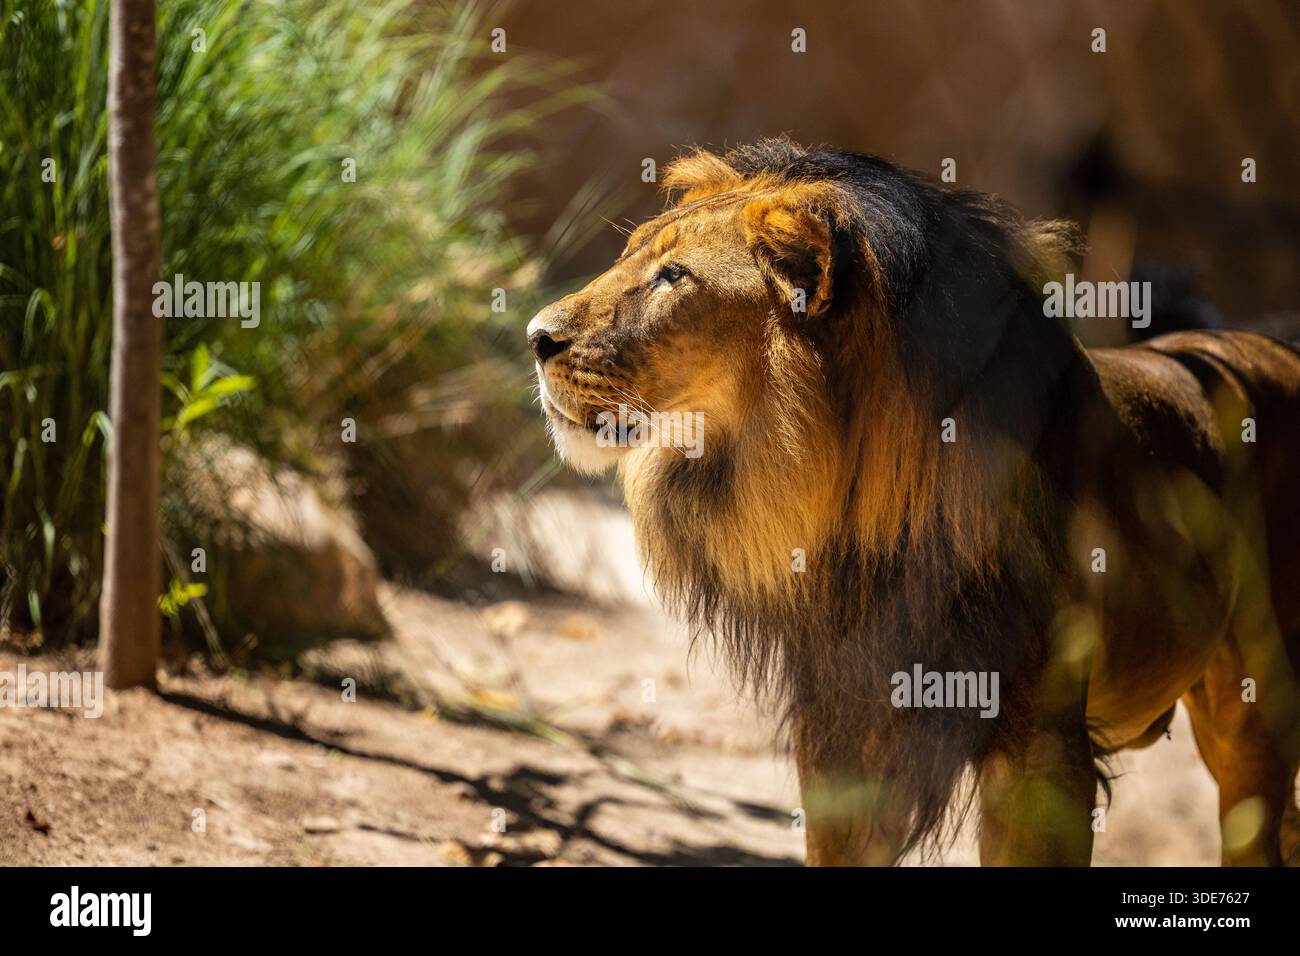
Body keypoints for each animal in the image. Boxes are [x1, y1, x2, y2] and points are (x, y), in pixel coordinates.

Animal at [527, 139, 1300, 866]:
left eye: (673, 277)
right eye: (631, 256)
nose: (535, 336)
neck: (854, 506)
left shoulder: (1040, 748)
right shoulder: (841, 727)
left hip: (1253, 708)